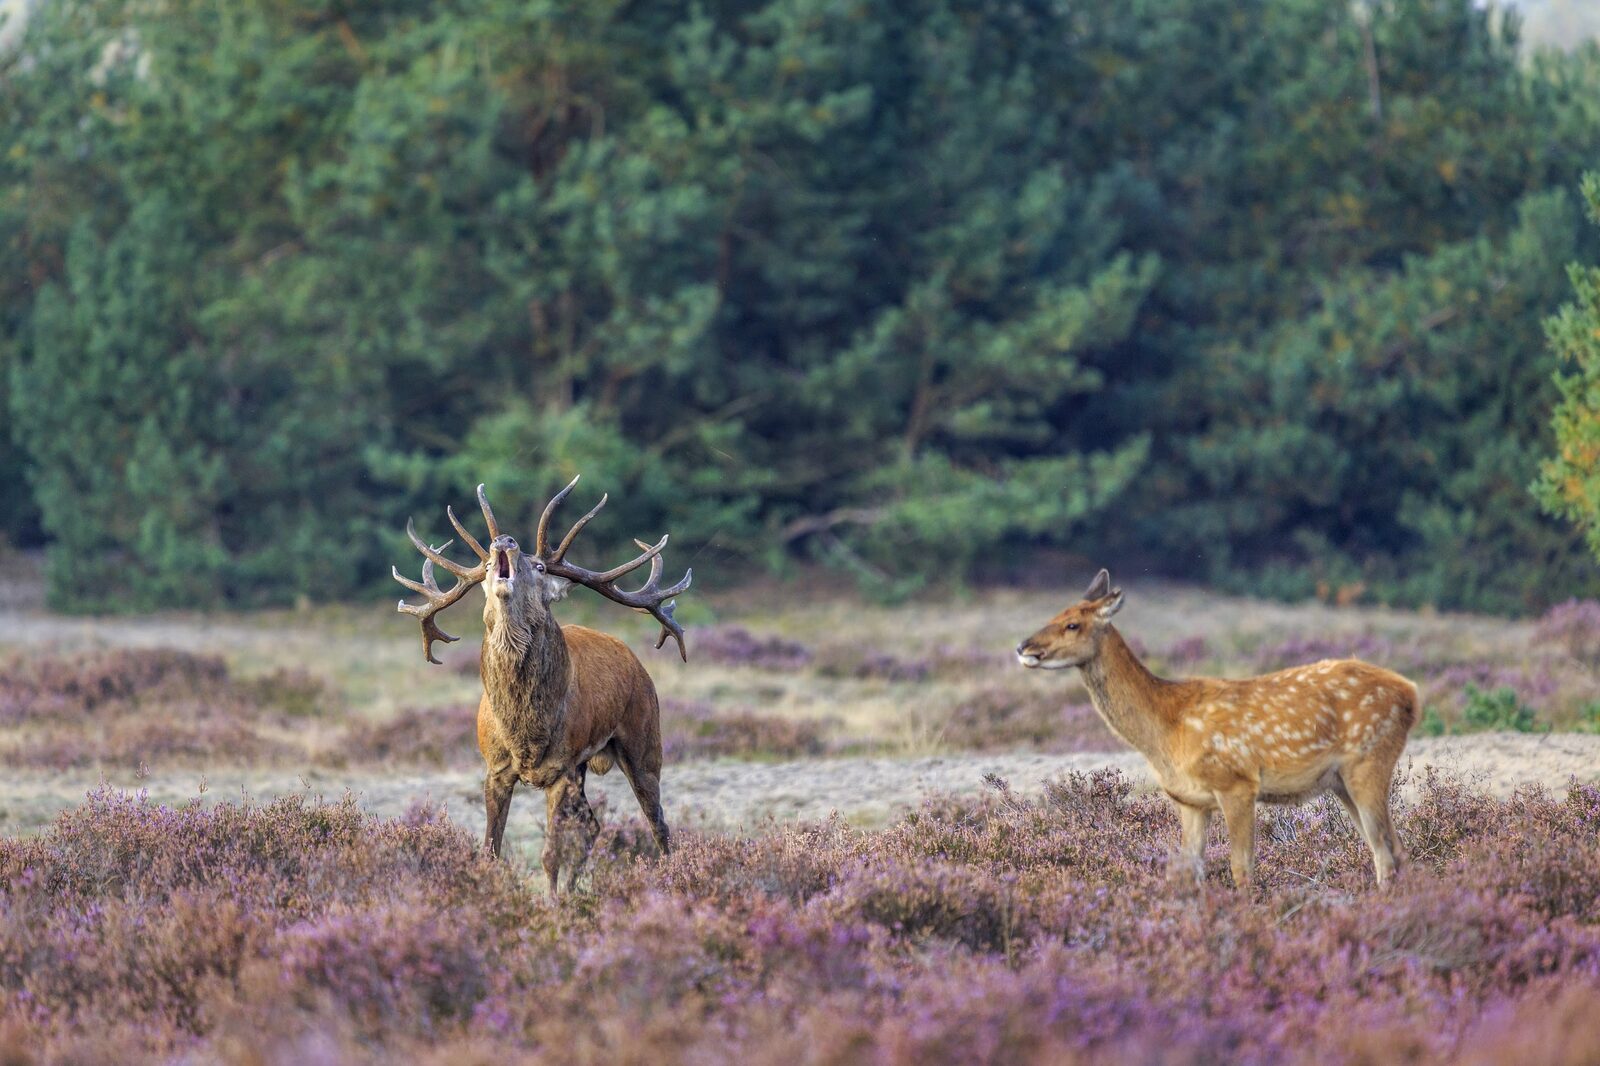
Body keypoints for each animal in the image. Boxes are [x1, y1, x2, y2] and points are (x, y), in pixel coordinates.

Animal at [393, 480, 688, 889]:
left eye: (540, 566)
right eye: (487, 565)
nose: (504, 540)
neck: (525, 732)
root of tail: (634, 660)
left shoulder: (561, 768)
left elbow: (549, 855)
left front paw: (552, 901)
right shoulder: (496, 769)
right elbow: (490, 849)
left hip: (643, 740)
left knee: (658, 825)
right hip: (585, 766)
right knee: (592, 827)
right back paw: (576, 889)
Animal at [1017, 569, 1420, 883]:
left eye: (1073, 624)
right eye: (1056, 613)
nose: (1024, 647)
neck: (1165, 729)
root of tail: (1411, 693)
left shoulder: (1236, 782)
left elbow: (1241, 868)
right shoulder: (1190, 801)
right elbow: (1190, 869)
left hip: (1369, 759)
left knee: (1388, 851)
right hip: (1340, 780)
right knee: (1390, 849)